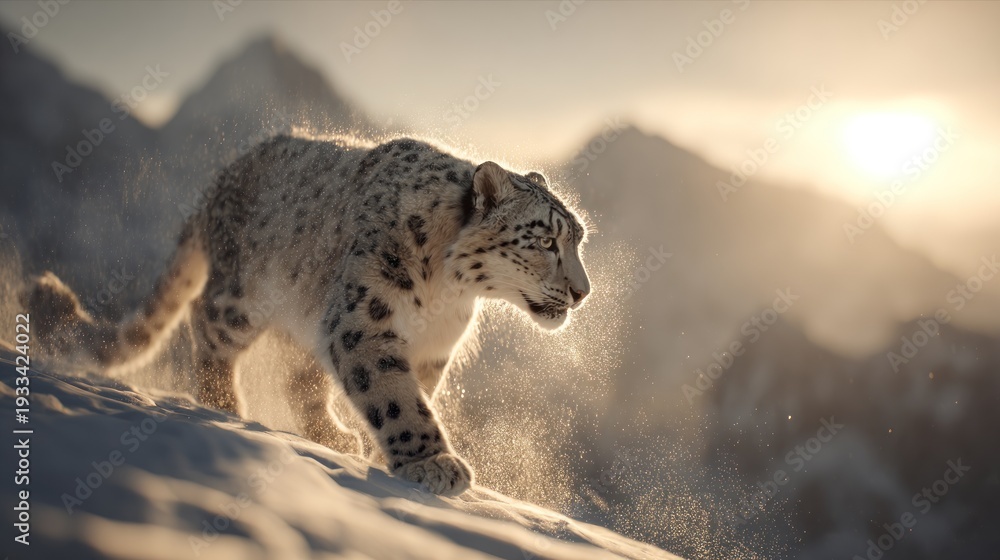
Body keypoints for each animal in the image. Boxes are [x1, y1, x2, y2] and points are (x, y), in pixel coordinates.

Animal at [26, 134, 591, 496]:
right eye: (545, 239)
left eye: (578, 238)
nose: (582, 292)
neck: (449, 293)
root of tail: (221, 178)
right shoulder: (365, 319)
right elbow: (395, 395)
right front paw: (430, 462)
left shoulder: (433, 349)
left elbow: (407, 392)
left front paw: (381, 456)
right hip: (241, 302)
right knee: (206, 331)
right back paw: (225, 405)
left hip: (306, 318)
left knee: (302, 378)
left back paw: (332, 435)